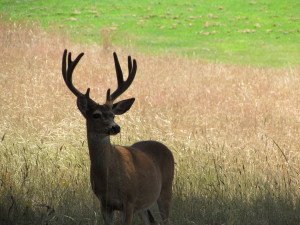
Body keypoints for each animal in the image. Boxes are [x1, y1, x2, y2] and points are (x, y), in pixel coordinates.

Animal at [61, 49, 173, 225]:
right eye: (96, 115)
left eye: (113, 115)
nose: (115, 127)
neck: (109, 176)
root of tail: (164, 147)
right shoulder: (104, 204)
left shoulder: (129, 201)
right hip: (144, 205)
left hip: (166, 189)